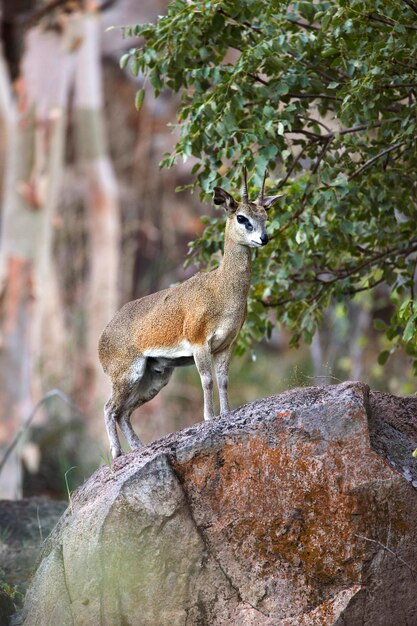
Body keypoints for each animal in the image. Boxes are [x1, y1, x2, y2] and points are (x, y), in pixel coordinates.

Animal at [98, 168, 280, 456]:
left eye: (265, 215)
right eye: (241, 217)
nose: (264, 239)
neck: (221, 290)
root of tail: (100, 342)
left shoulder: (226, 344)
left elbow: (223, 379)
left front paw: (226, 413)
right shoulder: (199, 343)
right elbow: (206, 379)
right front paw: (209, 417)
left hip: (155, 376)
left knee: (124, 411)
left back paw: (138, 447)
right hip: (126, 373)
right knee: (109, 408)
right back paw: (117, 454)